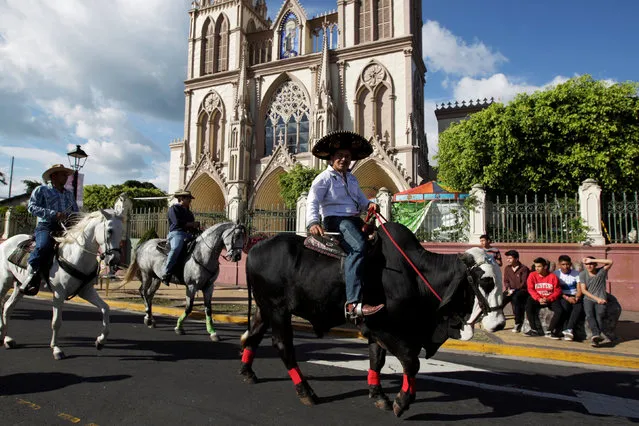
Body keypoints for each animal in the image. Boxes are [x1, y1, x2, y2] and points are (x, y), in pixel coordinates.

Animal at [0, 210, 124, 360]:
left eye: (122, 231)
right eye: (110, 230)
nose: (114, 260)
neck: (75, 256)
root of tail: (6, 242)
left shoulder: (86, 291)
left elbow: (105, 308)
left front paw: (100, 341)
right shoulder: (59, 294)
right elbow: (56, 322)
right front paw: (56, 349)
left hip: (19, 286)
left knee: (7, 307)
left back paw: (6, 339)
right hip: (4, 281)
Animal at [240, 223, 504, 416]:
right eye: (485, 281)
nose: (499, 323)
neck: (417, 274)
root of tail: (255, 247)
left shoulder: (376, 330)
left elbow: (377, 360)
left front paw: (379, 395)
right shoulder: (385, 328)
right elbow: (411, 362)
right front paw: (402, 401)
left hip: (265, 309)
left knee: (252, 336)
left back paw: (247, 372)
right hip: (278, 310)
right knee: (283, 345)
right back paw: (306, 392)